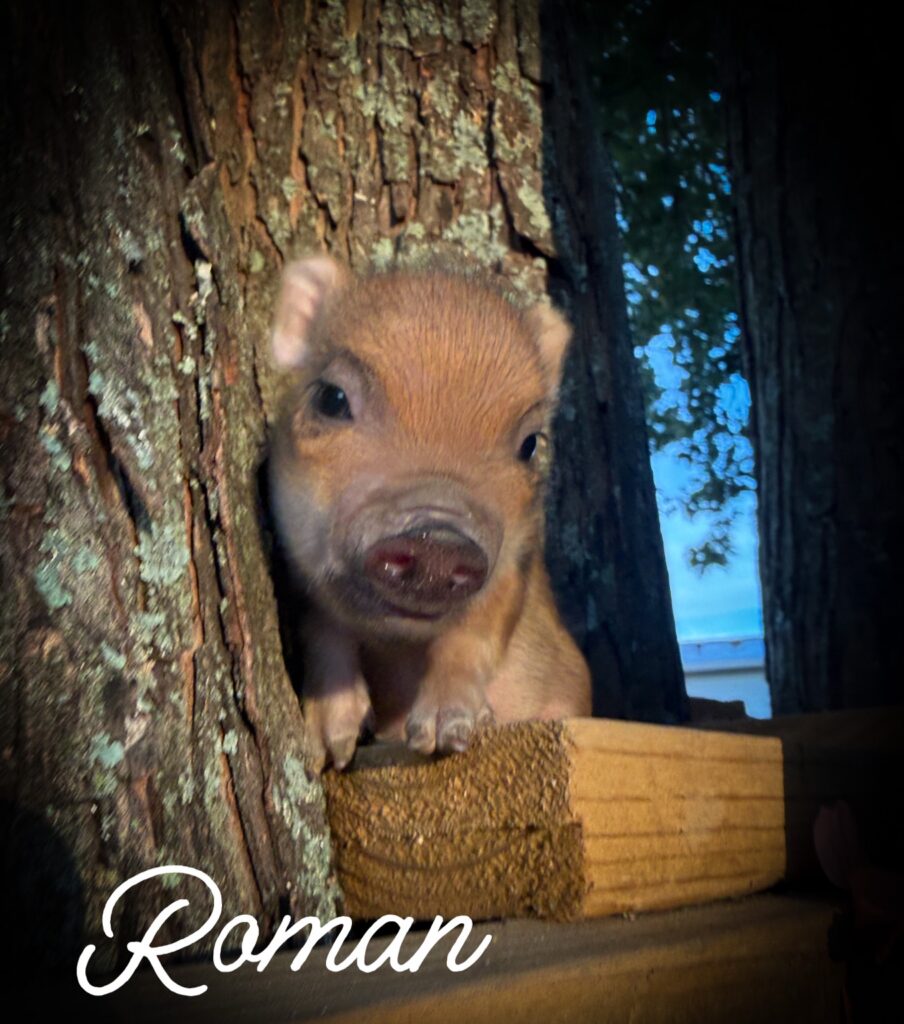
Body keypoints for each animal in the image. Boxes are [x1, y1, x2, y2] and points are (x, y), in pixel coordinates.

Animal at [269, 255, 591, 770]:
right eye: (331, 399)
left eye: (530, 444)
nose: (437, 540)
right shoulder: (294, 559)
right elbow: (322, 632)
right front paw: (329, 750)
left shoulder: (516, 562)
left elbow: (472, 635)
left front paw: (442, 737)